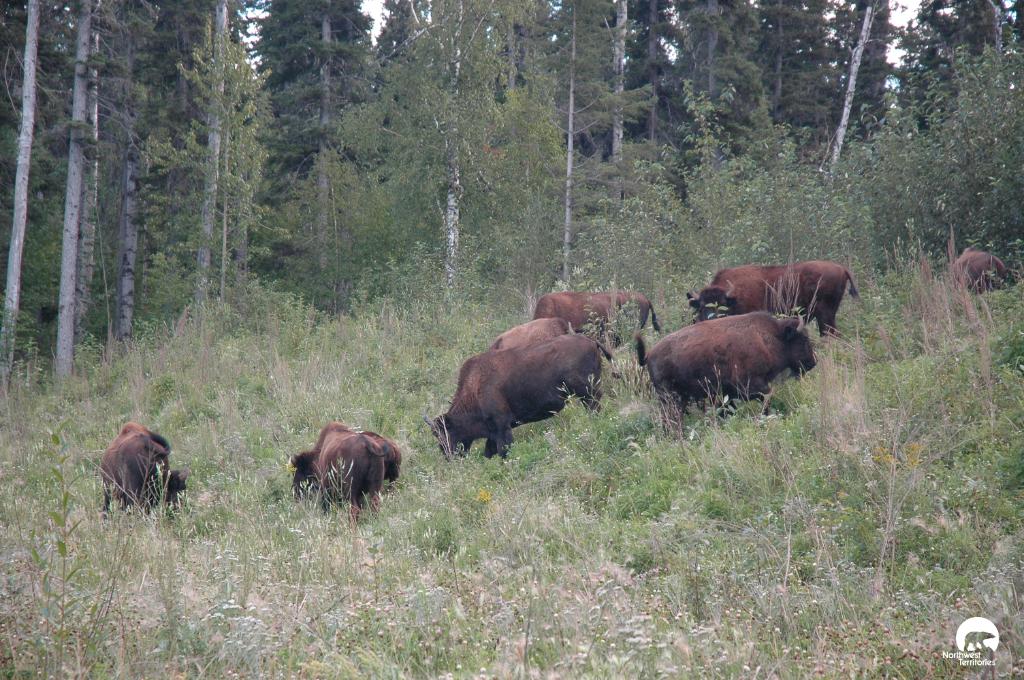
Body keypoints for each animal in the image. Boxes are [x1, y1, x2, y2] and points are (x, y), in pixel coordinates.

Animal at [427, 334, 611, 459]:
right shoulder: (493, 433)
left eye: (445, 432)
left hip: (587, 393)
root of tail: (591, 341)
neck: (475, 388)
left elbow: (503, 450)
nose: (447, 454)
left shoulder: (502, 426)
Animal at [636, 312, 816, 413]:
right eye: (803, 339)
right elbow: (767, 396)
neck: (770, 337)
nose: (813, 362)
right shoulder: (751, 385)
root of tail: (649, 354)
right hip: (670, 397)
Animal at [688, 260, 858, 336]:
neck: (734, 298)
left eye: (723, 304)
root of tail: (841, 268)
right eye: (701, 306)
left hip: (825, 315)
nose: (711, 319)